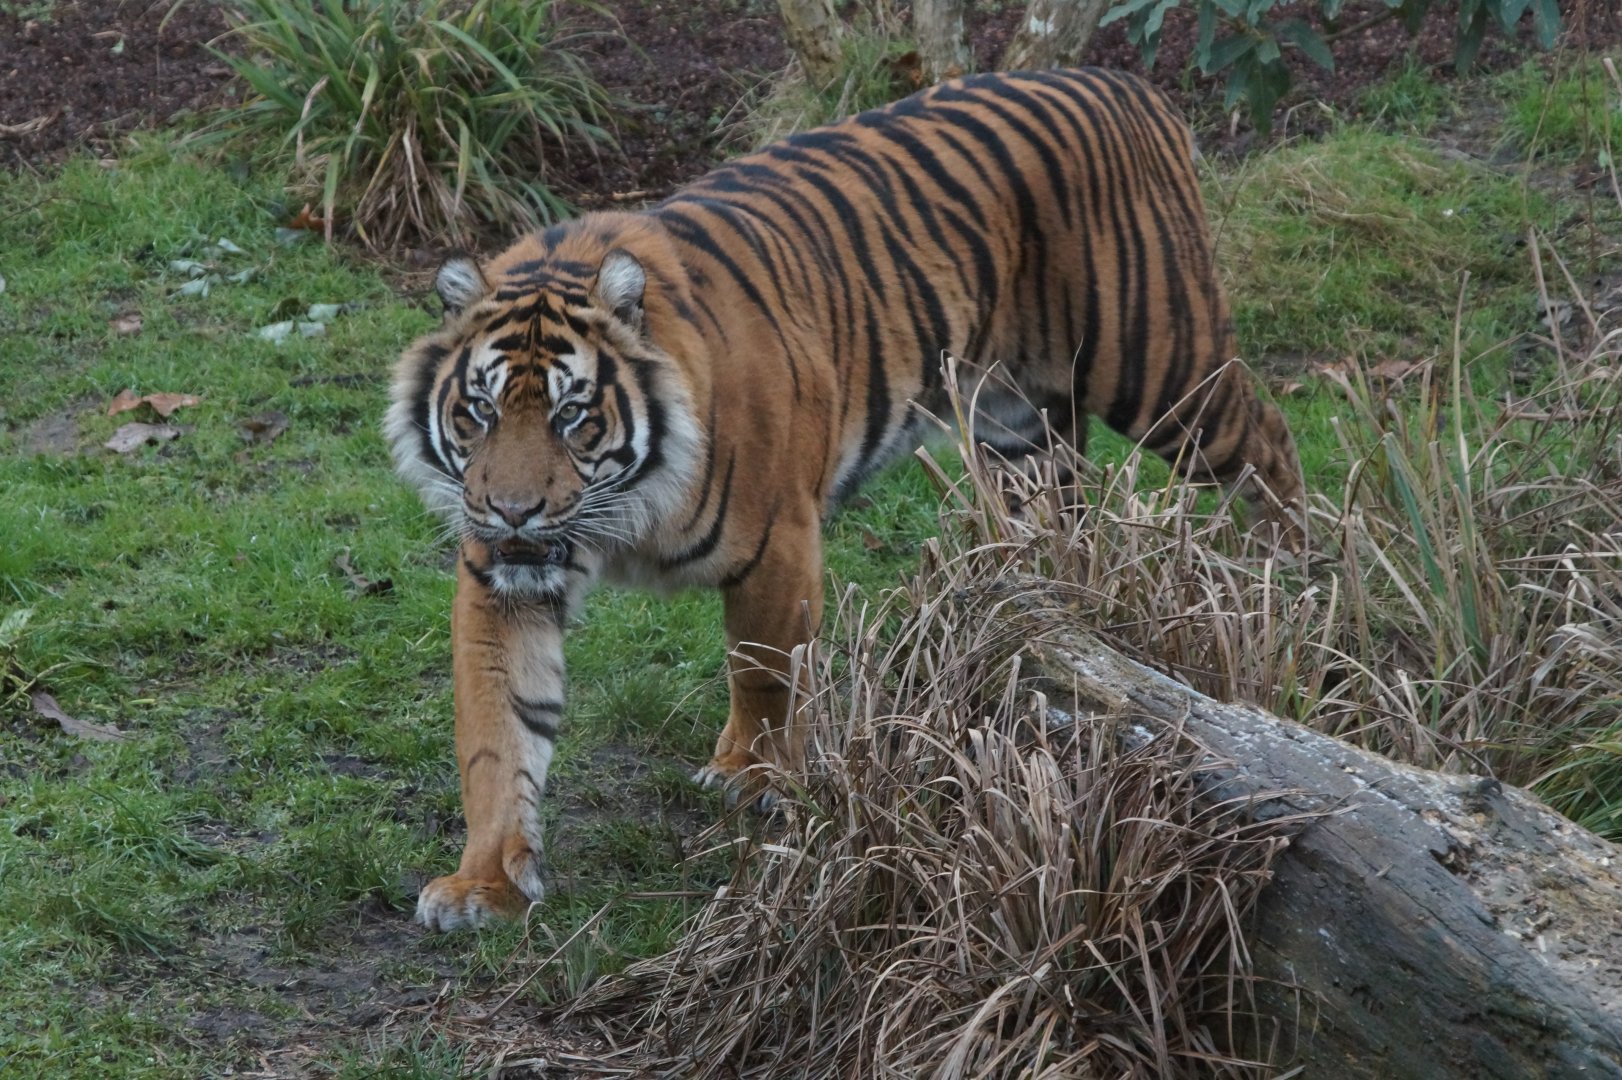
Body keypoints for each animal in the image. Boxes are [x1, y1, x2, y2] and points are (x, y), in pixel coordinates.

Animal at [386, 66, 1304, 931]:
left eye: (572, 415)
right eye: (479, 412)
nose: (513, 511)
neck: (623, 509)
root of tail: (1123, 82)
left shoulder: (775, 542)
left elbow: (762, 670)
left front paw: (753, 777)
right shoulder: (502, 581)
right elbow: (497, 733)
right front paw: (484, 883)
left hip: (1162, 368)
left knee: (1268, 440)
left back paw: (1291, 576)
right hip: (1017, 423)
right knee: (1060, 518)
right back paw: (1039, 618)